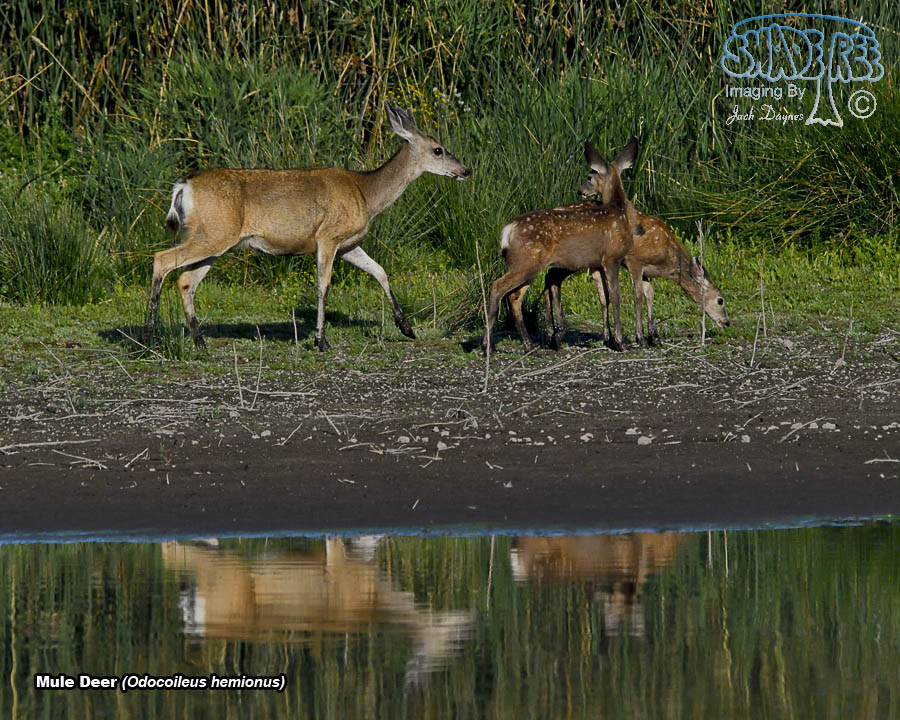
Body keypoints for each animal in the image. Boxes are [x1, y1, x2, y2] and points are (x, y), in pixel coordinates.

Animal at [147, 102, 470, 352]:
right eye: (438, 150)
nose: (466, 170)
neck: (366, 193)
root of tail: (183, 186)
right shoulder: (327, 236)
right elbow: (323, 286)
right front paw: (321, 341)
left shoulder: (348, 244)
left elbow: (380, 271)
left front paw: (407, 328)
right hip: (214, 233)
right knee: (161, 260)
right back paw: (151, 335)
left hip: (215, 239)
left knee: (185, 281)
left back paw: (199, 342)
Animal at [482, 139, 639, 355]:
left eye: (589, 177)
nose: (580, 191)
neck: (618, 211)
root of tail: (507, 230)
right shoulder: (611, 258)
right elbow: (616, 296)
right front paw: (621, 342)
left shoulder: (597, 263)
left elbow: (604, 296)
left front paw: (610, 340)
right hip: (527, 262)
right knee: (497, 287)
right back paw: (488, 347)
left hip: (528, 265)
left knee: (514, 297)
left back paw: (529, 346)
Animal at [544, 140, 730, 349]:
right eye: (720, 300)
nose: (727, 322)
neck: (667, 257)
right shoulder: (635, 260)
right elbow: (637, 295)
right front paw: (640, 337)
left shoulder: (646, 270)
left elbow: (650, 293)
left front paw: (654, 336)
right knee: (552, 276)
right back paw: (555, 333)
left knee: (550, 277)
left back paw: (553, 333)